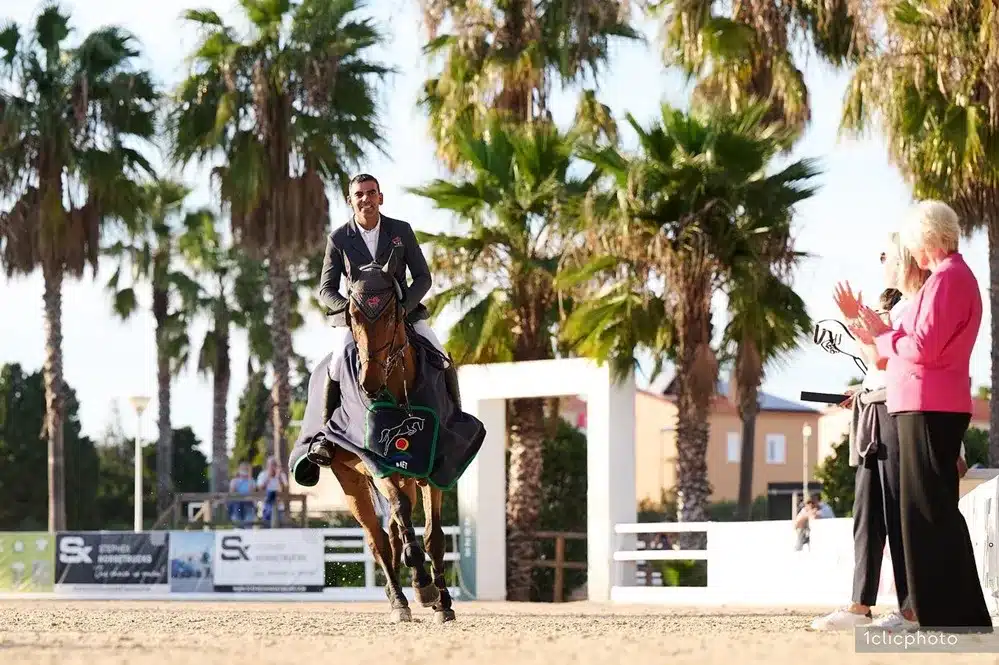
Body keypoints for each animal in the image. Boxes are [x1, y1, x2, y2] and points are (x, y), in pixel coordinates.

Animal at [306, 250, 456, 624]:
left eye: (390, 313)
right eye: (353, 315)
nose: (369, 382)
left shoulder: (434, 468)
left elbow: (433, 536)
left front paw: (442, 601)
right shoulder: (374, 463)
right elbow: (399, 518)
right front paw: (424, 585)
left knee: (393, 530)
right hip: (350, 480)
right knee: (378, 539)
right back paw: (400, 600)